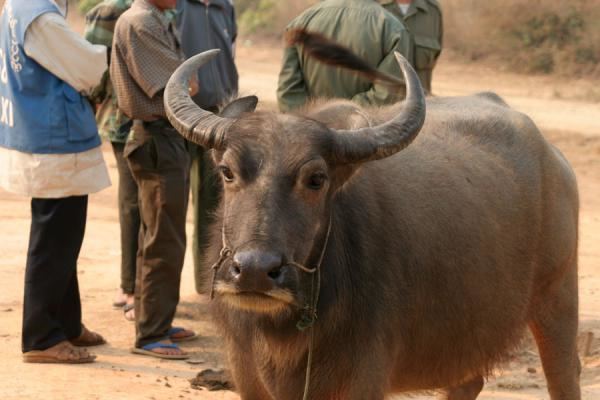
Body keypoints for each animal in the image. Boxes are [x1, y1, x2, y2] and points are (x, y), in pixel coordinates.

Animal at [163, 32, 576, 400]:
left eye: (316, 179)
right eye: (228, 172)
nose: (253, 270)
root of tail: (555, 159)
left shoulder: (364, 377)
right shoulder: (248, 375)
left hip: (558, 298)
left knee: (563, 378)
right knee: (467, 382)